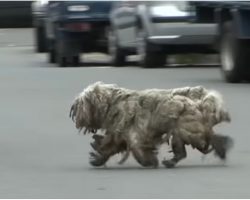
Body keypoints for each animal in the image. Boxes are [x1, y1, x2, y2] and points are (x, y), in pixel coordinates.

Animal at [70, 81, 232, 167]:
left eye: (81, 103)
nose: (72, 110)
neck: (113, 104)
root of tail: (199, 104)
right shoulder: (118, 135)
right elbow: (109, 146)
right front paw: (98, 158)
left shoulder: (133, 133)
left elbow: (134, 146)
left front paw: (148, 161)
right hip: (184, 130)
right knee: (189, 147)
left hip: (186, 128)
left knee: (203, 141)